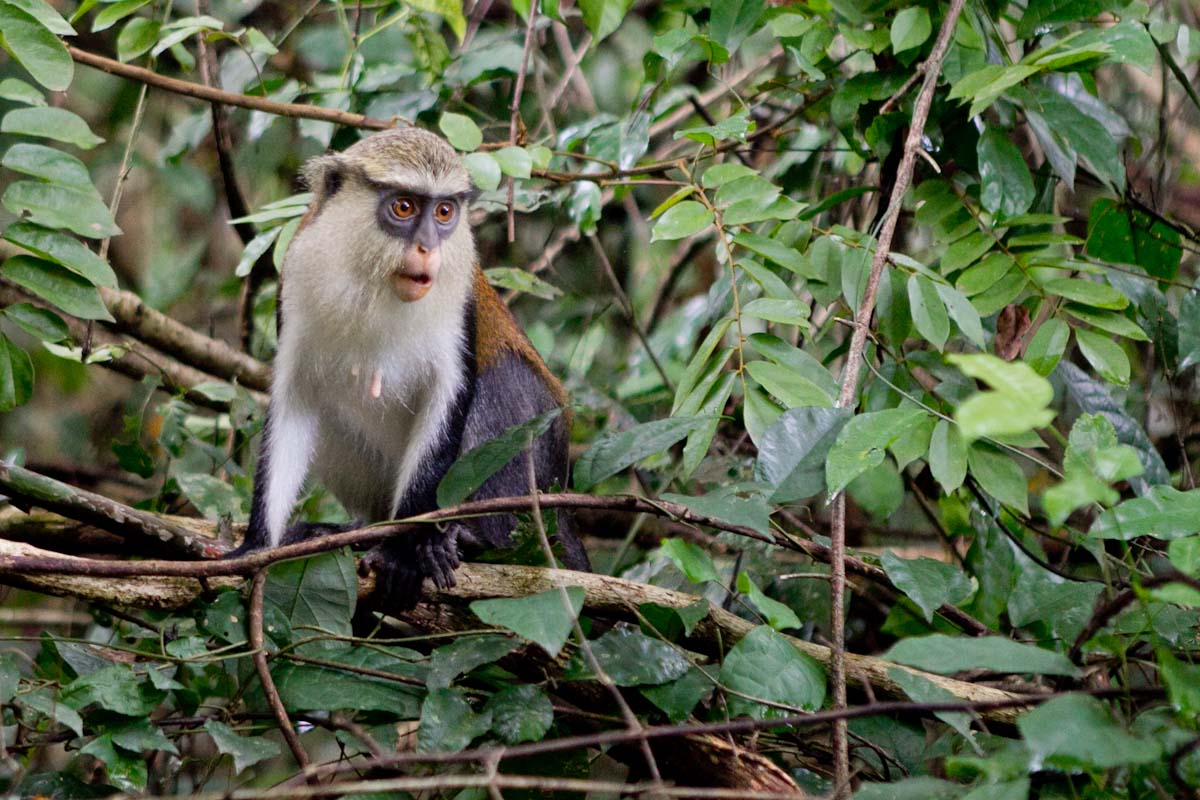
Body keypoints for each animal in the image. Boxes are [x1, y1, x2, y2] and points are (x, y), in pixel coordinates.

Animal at [228, 127, 590, 608]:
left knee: (504, 381)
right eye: (403, 207)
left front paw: (403, 552)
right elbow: (295, 402)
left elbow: (449, 394)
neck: (374, 281)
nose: (428, 247)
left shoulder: (459, 300)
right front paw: (254, 548)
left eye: (443, 211)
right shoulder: (298, 276)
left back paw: (465, 541)